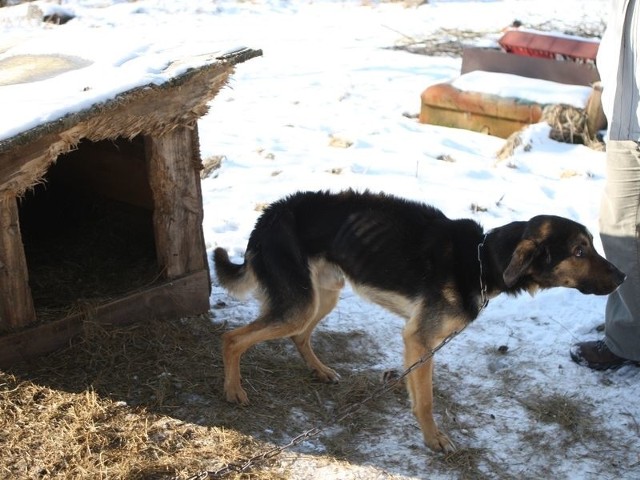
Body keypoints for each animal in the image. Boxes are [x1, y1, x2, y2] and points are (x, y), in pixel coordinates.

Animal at [215, 189, 624, 452]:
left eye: (591, 245)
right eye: (580, 251)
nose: (622, 277)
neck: (481, 259)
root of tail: (269, 214)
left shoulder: (420, 344)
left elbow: (418, 393)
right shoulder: (419, 339)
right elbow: (426, 401)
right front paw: (434, 440)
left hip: (323, 295)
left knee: (299, 336)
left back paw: (319, 370)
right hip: (300, 304)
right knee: (233, 338)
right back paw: (234, 390)